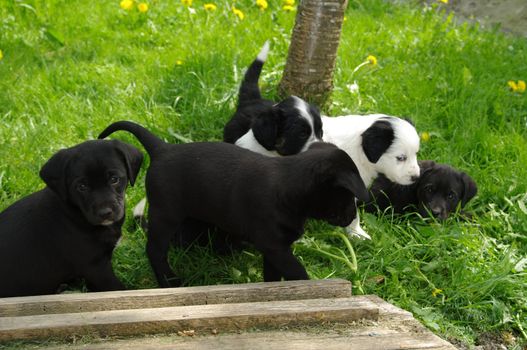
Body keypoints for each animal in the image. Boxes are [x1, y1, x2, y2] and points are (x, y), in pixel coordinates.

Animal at [0, 139, 143, 298]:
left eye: (114, 179)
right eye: (82, 186)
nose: (105, 212)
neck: (74, 212)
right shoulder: (96, 268)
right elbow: (117, 289)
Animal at [100, 120, 372, 288]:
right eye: (348, 195)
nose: (352, 218)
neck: (290, 187)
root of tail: (162, 149)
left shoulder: (274, 250)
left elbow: (273, 276)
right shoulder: (276, 246)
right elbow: (297, 272)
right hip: (166, 215)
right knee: (155, 250)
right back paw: (170, 281)